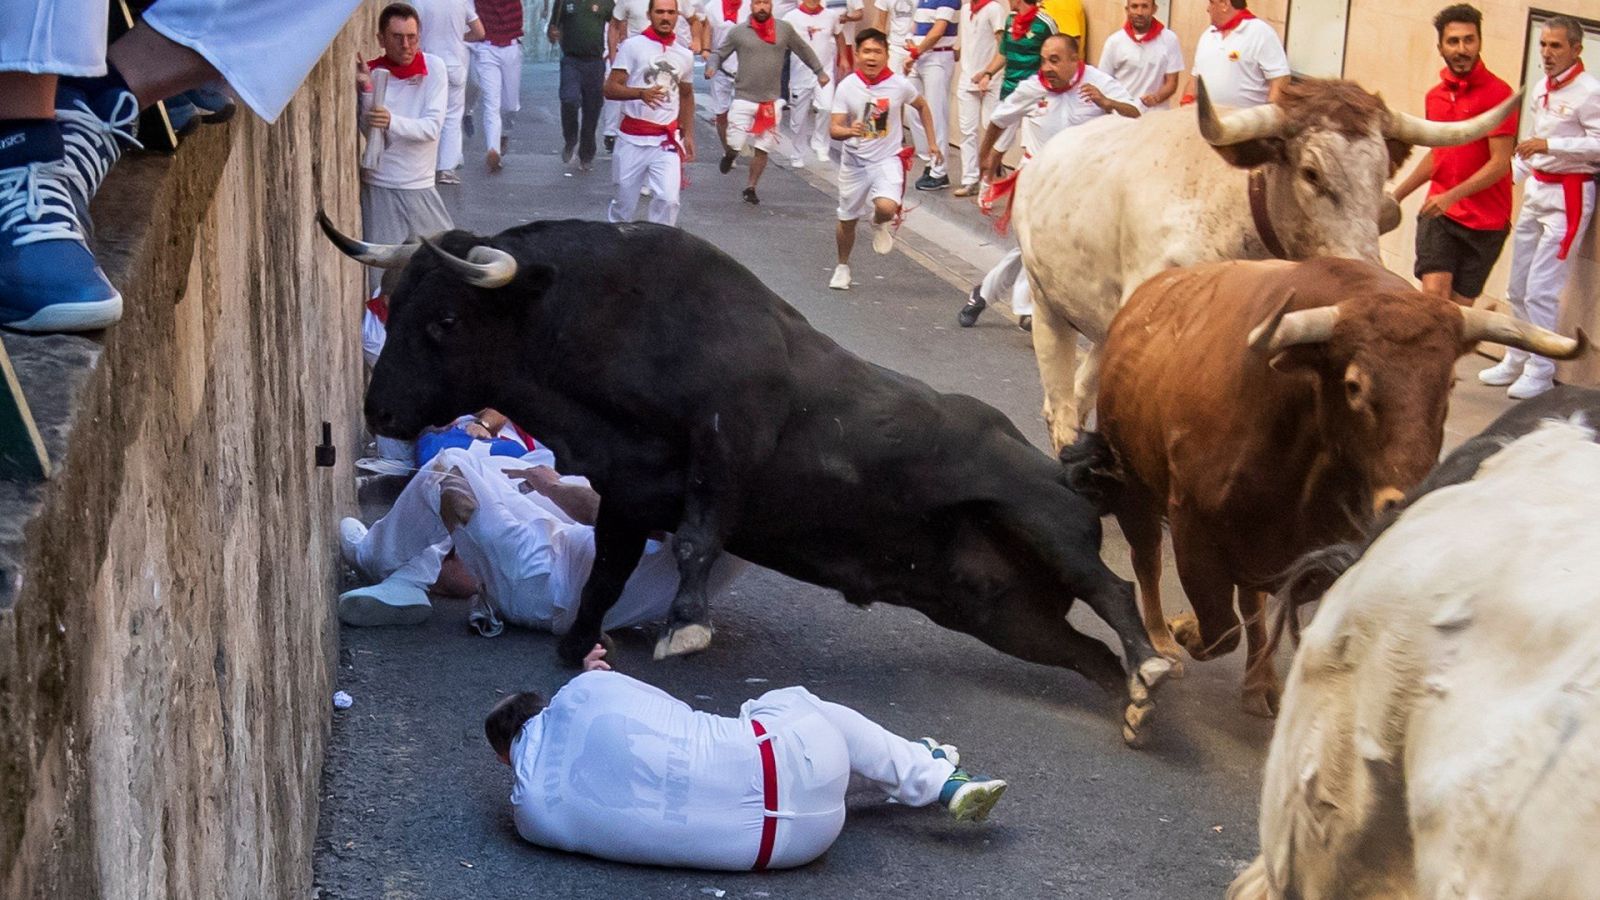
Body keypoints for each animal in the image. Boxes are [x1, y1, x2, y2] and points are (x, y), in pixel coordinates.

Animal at [331, 216, 1171, 743]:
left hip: (1036, 515)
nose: (378, 406)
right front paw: (577, 645)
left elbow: (699, 536)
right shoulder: (625, 494)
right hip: (999, 611)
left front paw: (685, 626)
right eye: (394, 303)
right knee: (1086, 654)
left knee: (1111, 588)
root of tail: (1059, 467)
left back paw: (1154, 663)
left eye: (444, 319)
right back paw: (1132, 706)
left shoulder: (730, 434)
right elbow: (605, 574)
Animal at [1017, 76, 1516, 448]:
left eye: (1380, 176)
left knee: (1079, 393)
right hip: (1048, 305)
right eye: (1312, 173)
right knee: (1062, 403)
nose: (1367, 272)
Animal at [1081, 257, 1580, 714]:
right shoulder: (1192, 524)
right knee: (1148, 559)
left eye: (1449, 384)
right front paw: (1183, 631)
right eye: (1355, 385)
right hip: (1135, 488)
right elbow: (1220, 627)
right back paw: (1162, 639)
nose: (1408, 500)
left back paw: (1259, 681)